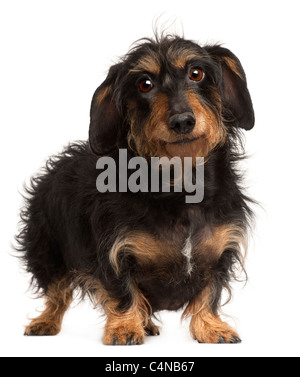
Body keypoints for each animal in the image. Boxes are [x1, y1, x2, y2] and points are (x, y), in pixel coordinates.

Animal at [16, 35, 254, 344]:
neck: (179, 189)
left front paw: (211, 327)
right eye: (145, 84)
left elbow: (209, 294)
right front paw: (124, 328)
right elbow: (124, 292)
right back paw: (46, 322)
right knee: (57, 294)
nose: (182, 121)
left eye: (196, 73)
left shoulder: (221, 249)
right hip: (48, 253)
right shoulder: (113, 252)